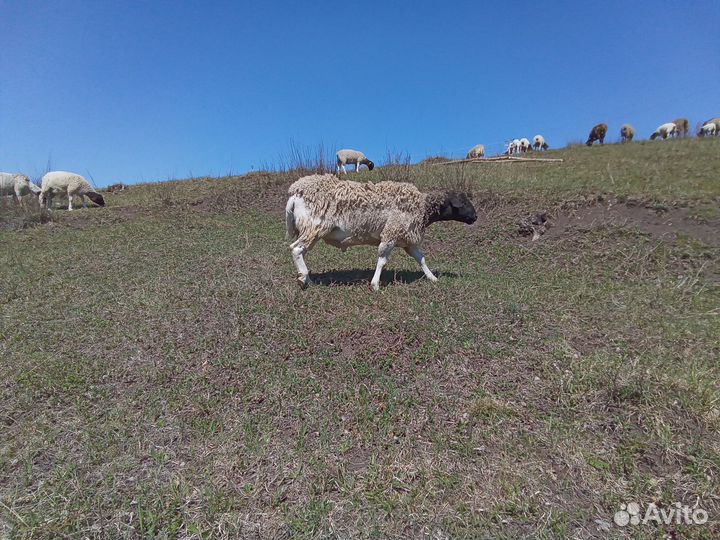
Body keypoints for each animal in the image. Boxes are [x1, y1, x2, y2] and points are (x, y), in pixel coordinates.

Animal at [285, 174, 477, 291]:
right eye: (463, 203)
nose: (475, 217)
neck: (422, 208)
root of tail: (295, 193)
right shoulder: (391, 233)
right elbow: (382, 260)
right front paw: (375, 284)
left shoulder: (407, 239)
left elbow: (420, 259)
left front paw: (432, 278)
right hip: (313, 227)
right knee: (296, 249)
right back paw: (304, 280)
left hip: (310, 230)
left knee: (300, 251)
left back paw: (307, 279)